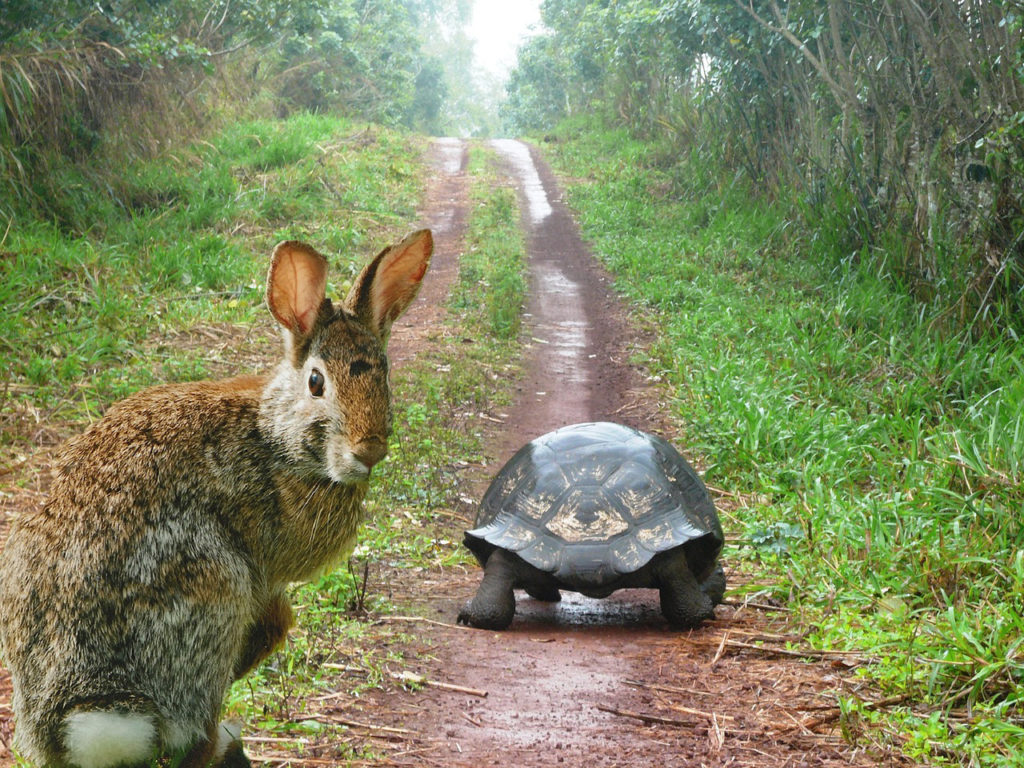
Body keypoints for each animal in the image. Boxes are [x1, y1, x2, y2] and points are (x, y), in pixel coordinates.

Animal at [0, 228, 432, 768]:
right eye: (317, 382)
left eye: (385, 373)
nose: (369, 450)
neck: (276, 439)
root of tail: (69, 717)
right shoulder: (260, 569)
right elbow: (279, 618)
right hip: (211, 586)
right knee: (194, 732)